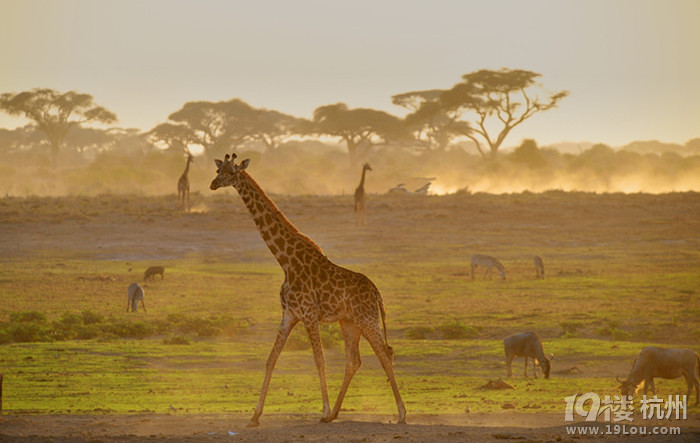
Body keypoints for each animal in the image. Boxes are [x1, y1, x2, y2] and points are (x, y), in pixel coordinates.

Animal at [209, 153, 404, 426]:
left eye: (230, 172)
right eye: (218, 170)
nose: (213, 184)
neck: (286, 261)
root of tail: (377, 293)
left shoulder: (309, 314)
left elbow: (319, 360)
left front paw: (322, 409)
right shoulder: (289, 315)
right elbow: (271, 360)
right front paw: (254, 416)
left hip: (367, 319)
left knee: (386, 354)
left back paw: (401, 414)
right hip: (349, 323)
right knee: (353, 361)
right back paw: (334, 415)